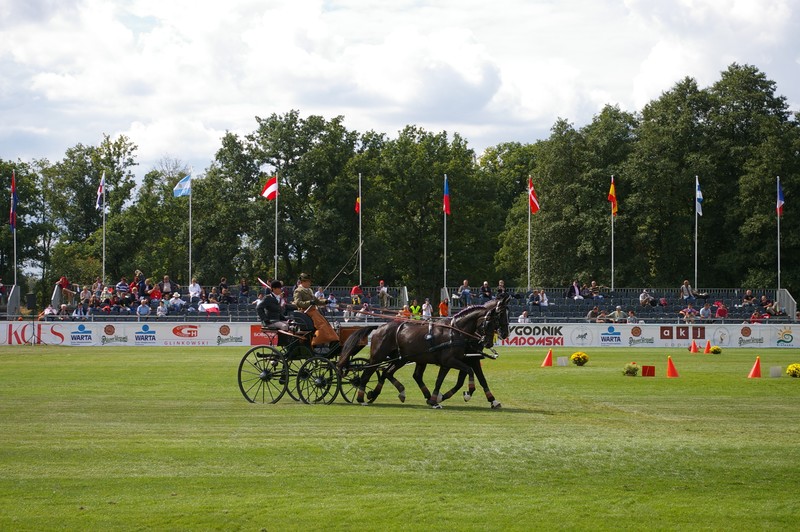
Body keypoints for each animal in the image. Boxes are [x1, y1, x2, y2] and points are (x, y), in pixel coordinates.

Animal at [338, 296, 512, 408]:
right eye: (495, 318)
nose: (488, 342)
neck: (457, 332)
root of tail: (380, 327)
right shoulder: (452, 361)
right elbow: (466, 375)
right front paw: (466, 393)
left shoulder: (464, 359)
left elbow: (472, 379)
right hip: (378, 357)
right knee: (367, 374)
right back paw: (362, 397)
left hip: (402, 358)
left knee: (389, 373)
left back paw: (391, 393)